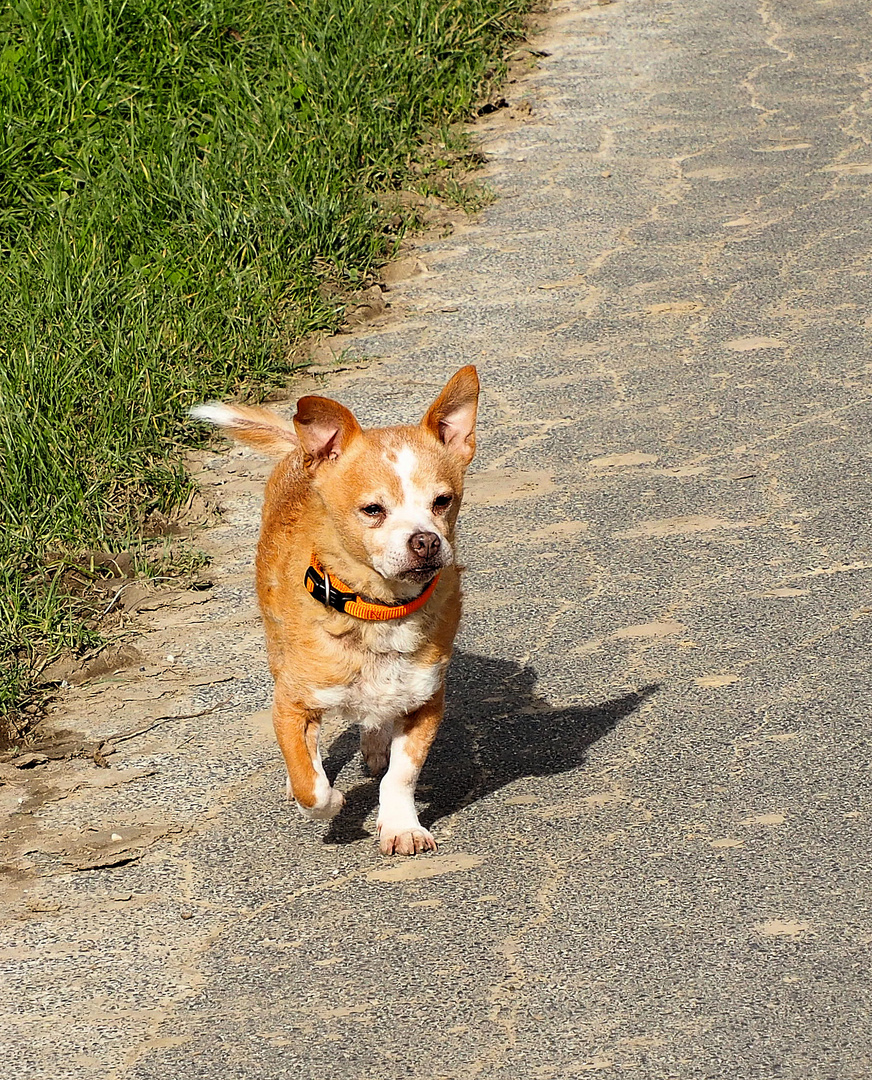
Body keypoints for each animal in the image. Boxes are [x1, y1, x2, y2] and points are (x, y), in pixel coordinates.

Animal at [191, 367, 481, 855]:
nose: (426, 541)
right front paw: (327, 799)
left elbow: (401, 775)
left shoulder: (426, 701)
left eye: (443, 501)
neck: (377, 611)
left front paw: (401, 825)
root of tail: (299, 450)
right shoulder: (291, 705)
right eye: (372, 509)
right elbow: (313, 786)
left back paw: (376, 744)